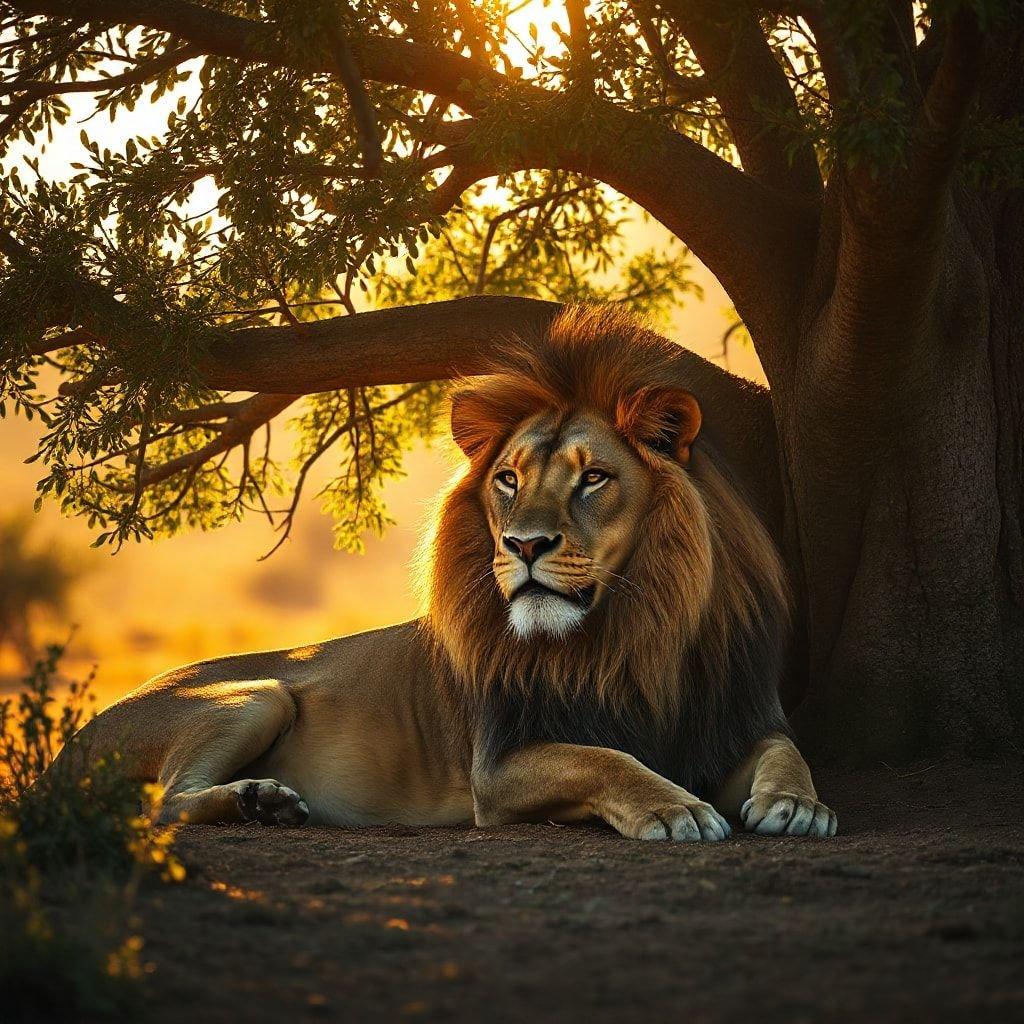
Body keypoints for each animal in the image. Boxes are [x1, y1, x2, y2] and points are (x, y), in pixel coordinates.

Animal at [51, 303, 835, 839]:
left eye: (594, 479)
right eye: (509, 479)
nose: (524, 545)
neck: (636, 628)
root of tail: (67, 747)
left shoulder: (731, 716)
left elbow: (786, 750)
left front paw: (798, 804)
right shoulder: (500, 767)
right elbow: (607, 760)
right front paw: (677, 808)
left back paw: (263, 800)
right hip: (258, 695)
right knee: (161, 804)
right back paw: (256, 800)